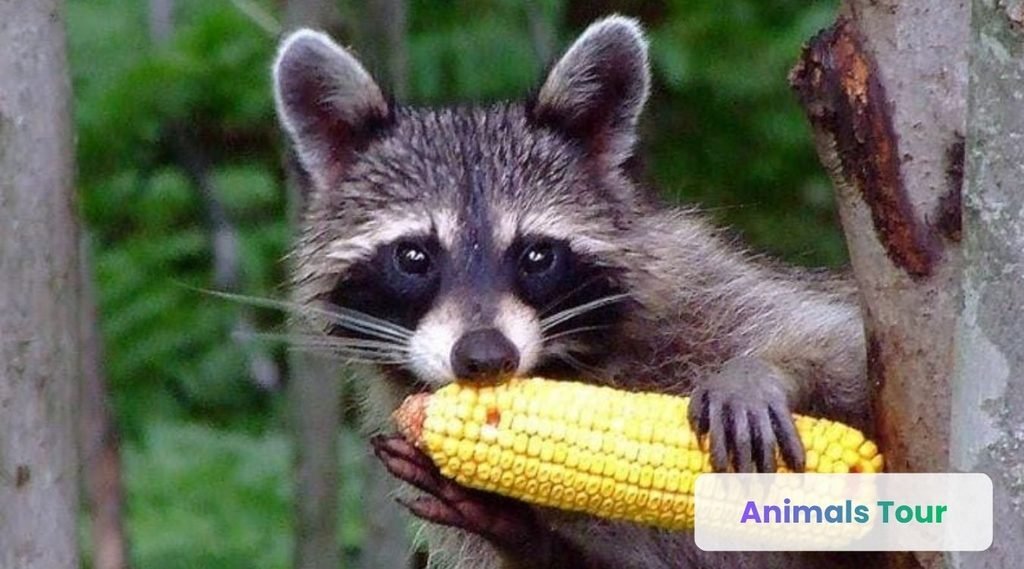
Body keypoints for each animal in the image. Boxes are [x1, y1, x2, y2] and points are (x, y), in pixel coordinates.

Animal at [273, 16, 872, 569]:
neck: (560, 371)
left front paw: (760, 371)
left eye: (537, 256)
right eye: (414, 257)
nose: (484, 356)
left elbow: (845, 348)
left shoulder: (700, 290)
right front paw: (509, 523)